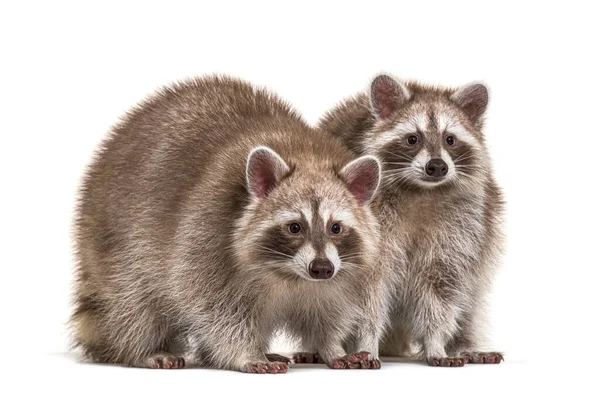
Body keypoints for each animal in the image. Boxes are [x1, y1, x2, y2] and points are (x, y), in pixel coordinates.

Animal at [71, 75, 390, 372]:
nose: (321, 268)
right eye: (294, 227)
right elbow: (215, 310)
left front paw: (331, 347)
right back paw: (141, 350)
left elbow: (327, 313)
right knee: (133, 304)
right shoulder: (205, 234)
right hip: (114, 243)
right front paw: (247, 353)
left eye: (336, 227)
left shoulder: (340, 275)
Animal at [318, 74, 506, 368]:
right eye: (412, 139)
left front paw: (436, 343)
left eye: (450, 139)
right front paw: (366, 343)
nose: (437, 166)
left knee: (472, 295)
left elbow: (440, 287)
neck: (422, 191)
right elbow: (365, 293)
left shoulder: (464, 224)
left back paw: (465, 343)